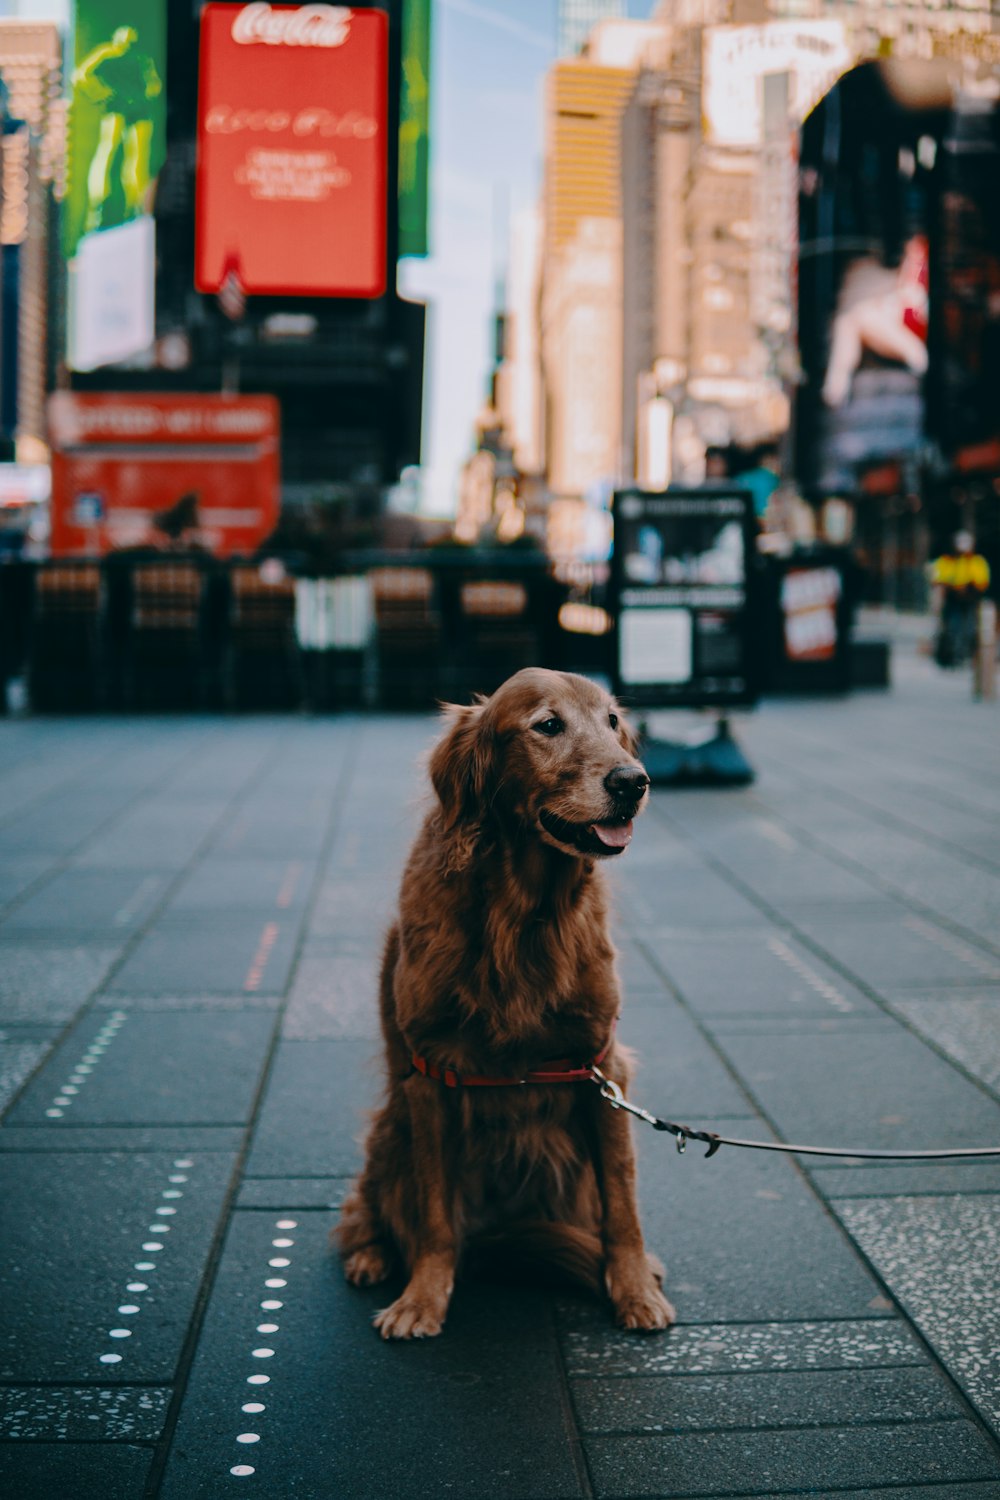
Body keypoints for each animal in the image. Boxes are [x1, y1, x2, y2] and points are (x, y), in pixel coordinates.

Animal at [334, 669, 671, 1338]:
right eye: (548, 725)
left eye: (613, 722)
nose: (633, 781)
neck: (524, 917)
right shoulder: (430, 1077)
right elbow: (434, 1217)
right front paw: (423, 1298)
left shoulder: (602, 1065)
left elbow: (622, 1203)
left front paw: (634, 1287)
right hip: (391, 1129)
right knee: (372, 1207)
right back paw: (371, 1254)